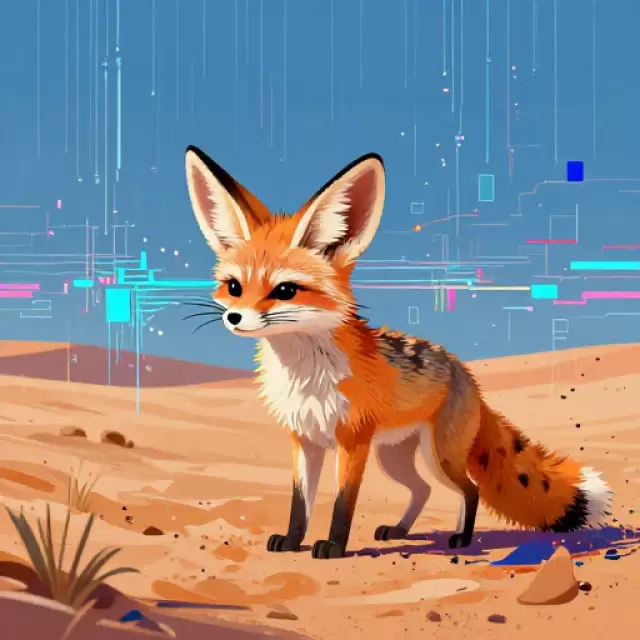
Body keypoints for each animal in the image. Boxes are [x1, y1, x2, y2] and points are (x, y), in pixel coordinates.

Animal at [184, 145, 613, 559]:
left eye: (285, 290)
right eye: (234, 287)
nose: (235, 318)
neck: (304, 374)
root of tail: (466, 374)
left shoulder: (351, 441)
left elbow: (343, 503)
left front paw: (333, 549)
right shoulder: (304, 439)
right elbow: (299, 503)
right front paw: (292, 541)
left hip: (437, 456)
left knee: (469, 488)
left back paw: (461, 538)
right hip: (393, 457)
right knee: (423, 489)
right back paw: (400, 530)